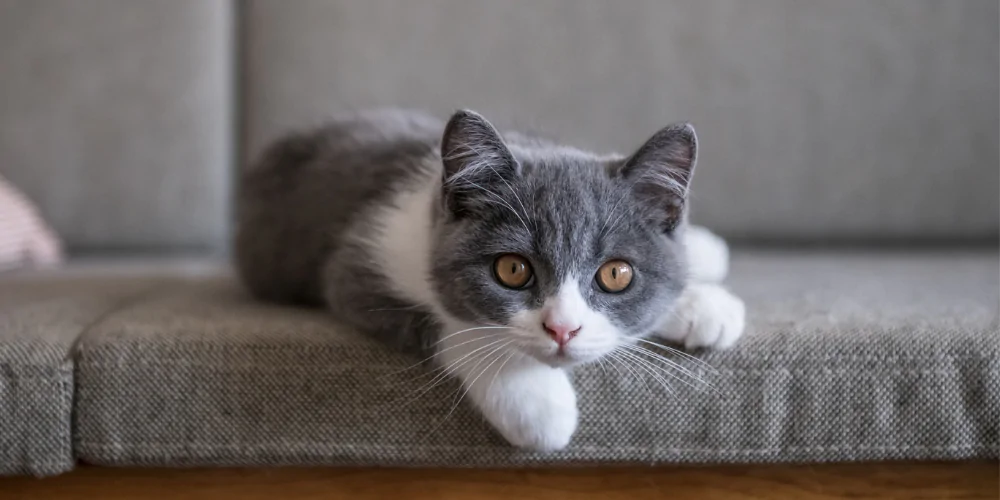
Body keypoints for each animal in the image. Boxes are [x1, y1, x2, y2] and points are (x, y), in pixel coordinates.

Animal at [238, 108, 748, 450]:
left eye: (616, 274)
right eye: (512, 269)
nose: (563, 329)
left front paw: (701, 305)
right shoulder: (357, 262)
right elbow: (452, 325)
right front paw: (536, 402)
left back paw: (706, 249)